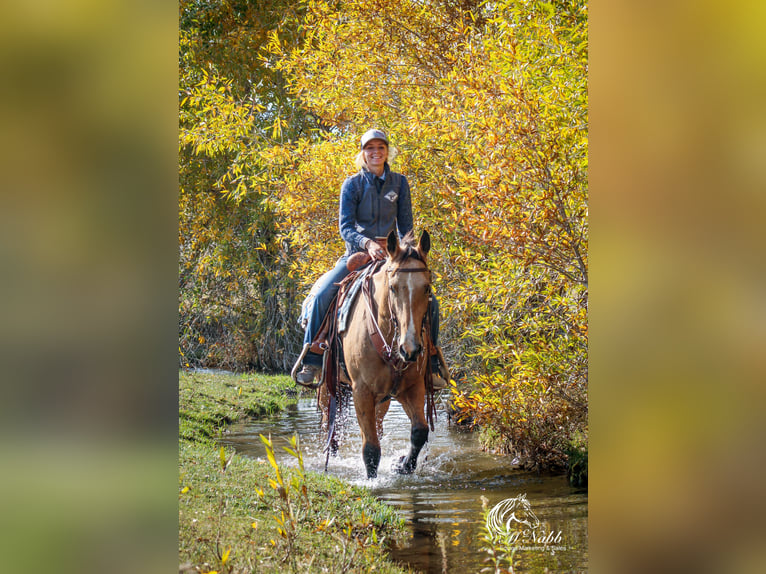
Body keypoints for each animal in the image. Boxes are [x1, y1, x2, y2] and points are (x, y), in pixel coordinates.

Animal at [318, 231, 438, 482]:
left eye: (427, 288)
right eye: (392, 287)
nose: (410, 349)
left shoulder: (412, 387)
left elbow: (419, 431)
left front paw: (403, 465)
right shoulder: (361, 391)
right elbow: (371, 448)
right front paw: (373, 481)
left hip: (382, 398)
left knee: (379, 424)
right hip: (327, 387)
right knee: (328, 425)